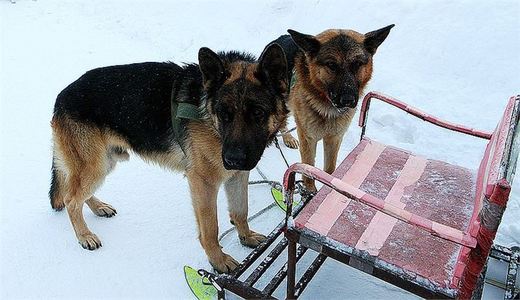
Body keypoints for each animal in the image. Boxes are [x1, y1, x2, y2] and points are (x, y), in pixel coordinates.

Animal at [49, 43, 288, 274]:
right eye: (224, 115)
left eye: (258, 113)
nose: (232, 160)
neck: (207, 113)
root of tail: (61, 96)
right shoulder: (203, 182)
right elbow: (210, 228)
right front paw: (218, 261)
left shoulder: (237, 175)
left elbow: (241, 211)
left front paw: (246, 238)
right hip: (95, 166)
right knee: (71, 200)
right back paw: (84, 236)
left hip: (105, 162)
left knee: (78, 193)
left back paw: (98, 207)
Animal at [272, 25, 394, 190]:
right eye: (331, 65)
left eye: (357, 64)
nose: (348, 100)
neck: (326, 106)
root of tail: (282, 38)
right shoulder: (308, 139)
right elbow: (308, 173)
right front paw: (310, 192)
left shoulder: (334, 138)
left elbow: (330, 169)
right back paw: (286, 137)